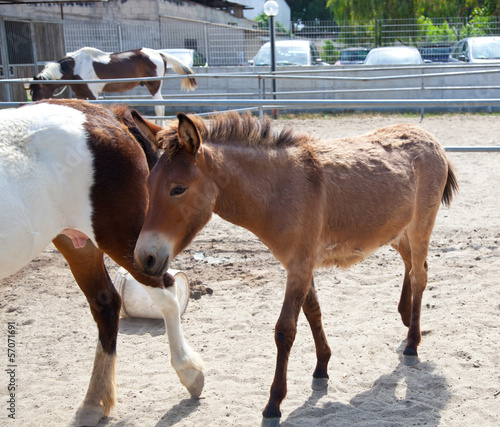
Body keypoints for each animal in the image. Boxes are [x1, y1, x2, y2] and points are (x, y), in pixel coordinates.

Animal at [0, 98, 203, 426]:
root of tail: (108, 114)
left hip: (122, 239)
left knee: (166, 293)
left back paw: (189, 373)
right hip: (77, 240)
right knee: (106, 302)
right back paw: (94, 401)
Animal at [28, 46, 197, 116]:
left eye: (38, 90)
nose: (33, 105)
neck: (74, 68)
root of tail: (159, 53)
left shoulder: (93, 94)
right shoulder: (80, 94)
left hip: (154, 86)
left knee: (159, 108)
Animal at [135, 112, 458, 426]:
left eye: (178, 189)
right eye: (147, 185)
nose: (144, 258)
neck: (280, 190)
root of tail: (429, 138)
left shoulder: (299, 267)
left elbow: (285, 330)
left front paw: (274, 403)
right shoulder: (302, 264)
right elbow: (313, 311)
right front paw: (322, 365)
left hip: (420, 226)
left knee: (420, 275)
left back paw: (412, 343)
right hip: (396, 231)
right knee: (411, 263)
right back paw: (406, 316)